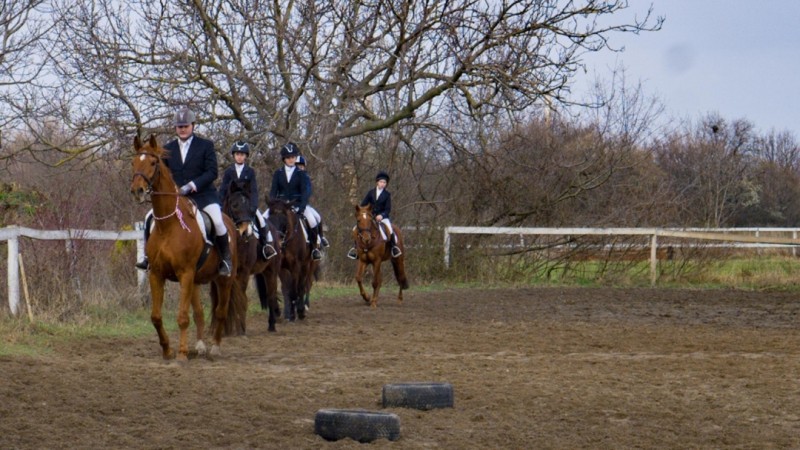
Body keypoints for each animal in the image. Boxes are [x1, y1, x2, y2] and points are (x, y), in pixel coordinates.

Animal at [130, 134, 238, 362]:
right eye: (133, 162)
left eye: (153, 163)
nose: (137, 191)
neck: (168, 225)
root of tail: (230, 221)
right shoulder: (157, 274)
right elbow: (156, 316)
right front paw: (167, 350)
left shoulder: (185, 274)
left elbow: (182, 317)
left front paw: (180, 354)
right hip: (195, 281)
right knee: (199, 312)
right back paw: (199, 346)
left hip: (224, 280)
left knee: (221, 311)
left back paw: (215, 348)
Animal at [219, 179, 282, 334]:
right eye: (234, 205)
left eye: (251, 208)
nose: (245, 232)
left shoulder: (244, 272)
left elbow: (241, 297)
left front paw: (240, 328)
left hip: (271, 271)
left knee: (271, 295)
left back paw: (272, 325)